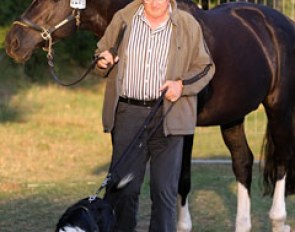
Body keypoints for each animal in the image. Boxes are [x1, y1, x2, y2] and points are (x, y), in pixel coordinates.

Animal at [5, 0, 295, 232]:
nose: (13, 41)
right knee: (243, 163)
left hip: (279, 108)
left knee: (281, 160)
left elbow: (182, 181)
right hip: (233, 116)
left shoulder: (185, 127)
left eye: (53, 0)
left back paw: (279, 219)